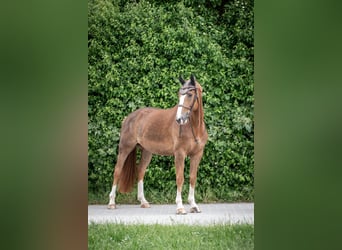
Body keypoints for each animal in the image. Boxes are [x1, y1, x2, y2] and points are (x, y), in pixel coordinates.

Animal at [108, 74, 207, 215]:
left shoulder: (197, 155)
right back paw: (111, 202)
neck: (194, 128)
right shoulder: (180, 154)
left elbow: (193, 178)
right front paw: (180, 207)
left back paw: (143, 201)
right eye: (179, 94)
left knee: (140, 171)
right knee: (117, 171)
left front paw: (193, 205)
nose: (179, 119)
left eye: (189, 94)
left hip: (147, 151)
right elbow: (180, 178)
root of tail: (128, 117)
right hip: (125, 149)